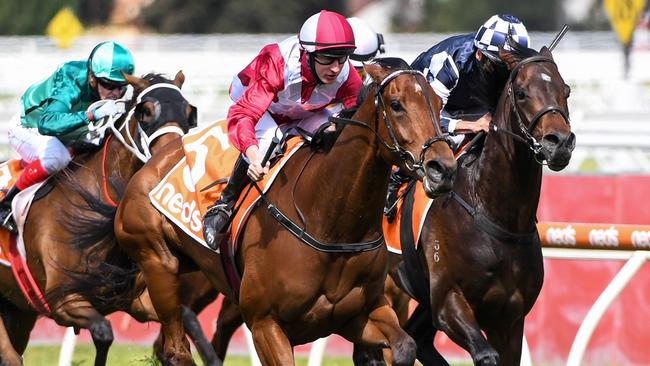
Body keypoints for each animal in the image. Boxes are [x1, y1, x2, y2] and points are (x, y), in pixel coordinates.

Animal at [0, 72, 197, 366]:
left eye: (188, 112)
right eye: (146, 112)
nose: (172, 154)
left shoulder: (134, 299)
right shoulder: (64, 299)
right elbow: (104, 334)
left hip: (17, 310)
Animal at [112, 58, 456, 364]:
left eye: (439, 103)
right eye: (396, 104)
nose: (442, 169)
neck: (330, 222)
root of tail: (154, 161)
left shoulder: (359, 314)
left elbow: (405, 347)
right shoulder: (266, 324)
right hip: (158, 262)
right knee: (176, 350)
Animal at [380, 44, 572, 364]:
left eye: (565, 90)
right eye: (522, 93)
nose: (559, 142)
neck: (493, 213)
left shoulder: (509, 319)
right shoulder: (448, 302)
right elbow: (485, 355)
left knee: (416, 339)